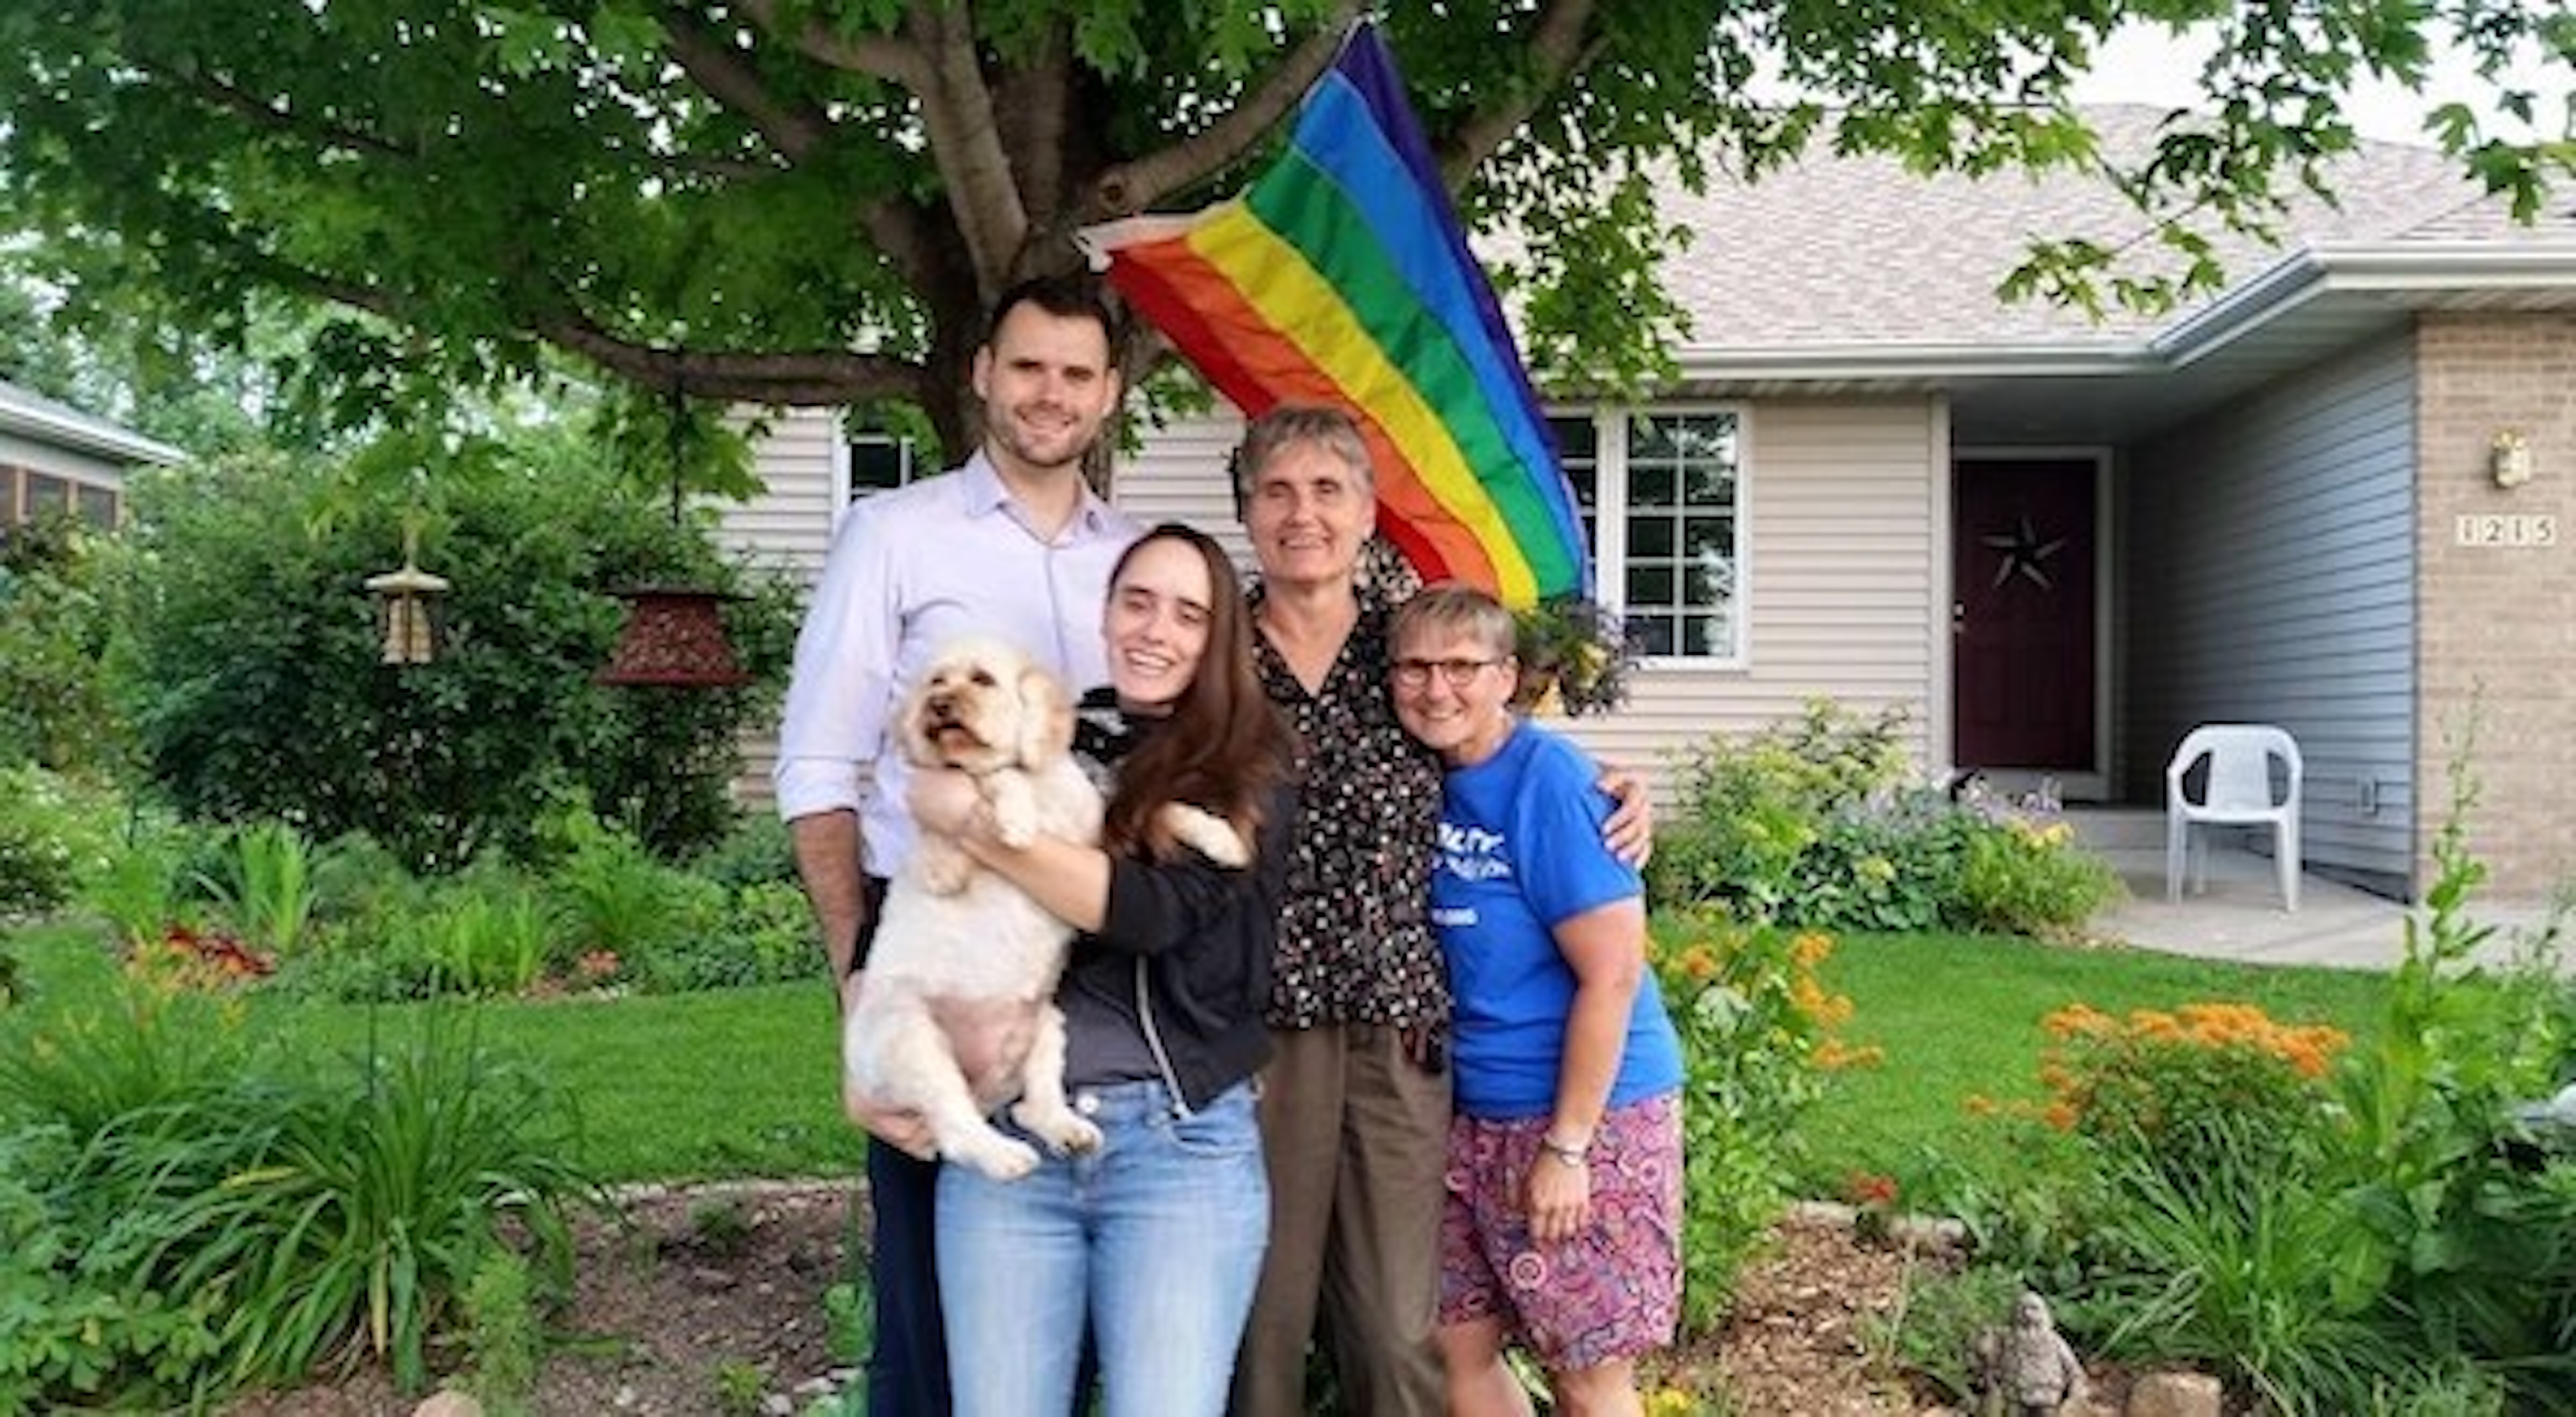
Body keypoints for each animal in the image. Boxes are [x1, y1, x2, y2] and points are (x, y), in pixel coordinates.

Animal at [844, 639, 1246, 1185]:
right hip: (909, 1035)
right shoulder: (938, 858)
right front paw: (1015, 820)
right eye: (935, 681)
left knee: (1028, 1105)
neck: (1046, 789)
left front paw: (1222, 838)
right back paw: (1004, 1156)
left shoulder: (1098, 850)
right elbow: (999, 776)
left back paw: (1067, 1130)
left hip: (1047, 1023)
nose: (938, 707)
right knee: (954, 1125)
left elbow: (1163, 812)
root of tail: (983, 1087)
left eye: (983, 679)